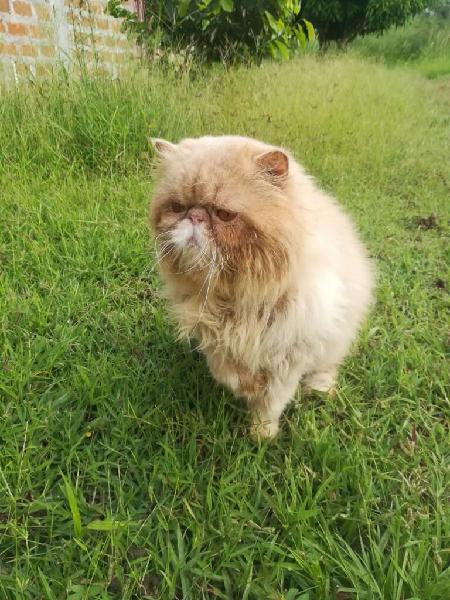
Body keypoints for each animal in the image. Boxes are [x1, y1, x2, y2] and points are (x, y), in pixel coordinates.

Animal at [149, 135, 374, 436]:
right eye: (177, 207)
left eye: (224, 214)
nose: (194, 216)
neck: (235, 297)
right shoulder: (211, 335)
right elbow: (227, 371)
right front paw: (245, 388)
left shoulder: (290, 356)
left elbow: (271, 401)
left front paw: (261, 435)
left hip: (335, 343)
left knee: (326, 368)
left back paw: (319, 389)